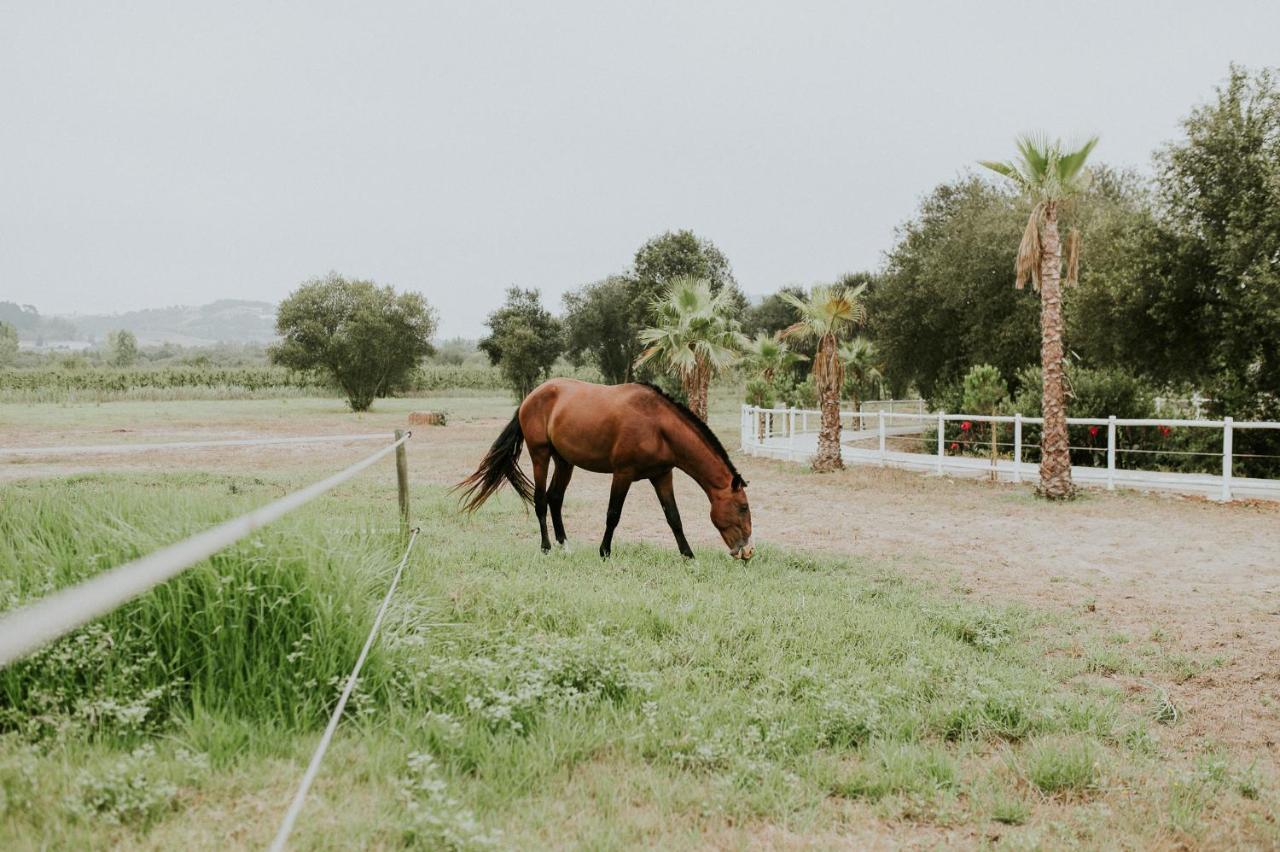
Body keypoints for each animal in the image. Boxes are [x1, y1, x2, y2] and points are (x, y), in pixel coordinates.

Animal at [460, 378, 752, 557]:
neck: (658, 426)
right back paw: (546, 547)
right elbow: (613, 514)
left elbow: (673, 517)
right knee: (541, 501)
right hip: (540, 456)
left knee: (555, 499)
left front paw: (688, 555)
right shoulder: (623, 474)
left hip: (564, 461)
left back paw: (565, 545)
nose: (747, 551)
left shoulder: (662, 476)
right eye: (743, 507)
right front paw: (604, 551)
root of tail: (530, 397)